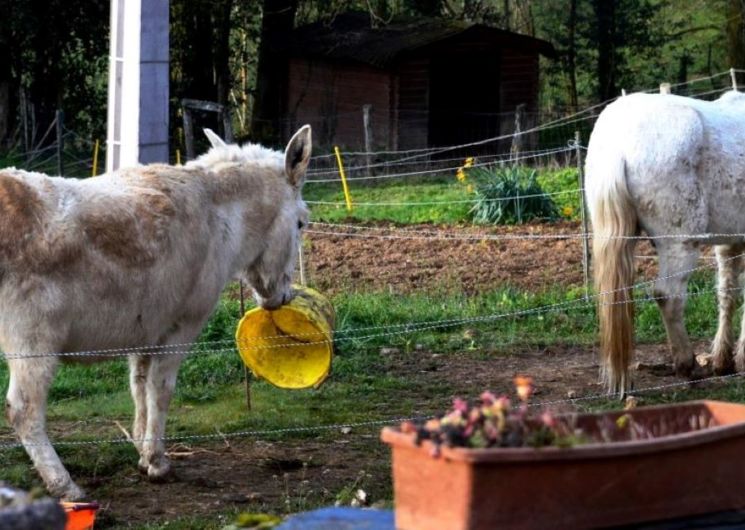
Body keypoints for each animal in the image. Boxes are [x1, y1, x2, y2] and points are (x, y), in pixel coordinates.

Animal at [2, 126, 310, 498]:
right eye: (301, 224)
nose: (283, 297)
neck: (218, 214)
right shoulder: (182, 326)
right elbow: (161, 390)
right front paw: (157, 462)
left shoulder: (146, 330)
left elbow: (139, 389)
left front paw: (141, 449)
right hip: (33, 341)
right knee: (24, 411)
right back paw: (65, 486)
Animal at [588, 89, 745, 392]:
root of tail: (618, 139)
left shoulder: (730, 242)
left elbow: (727, 293)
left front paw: (723, 359)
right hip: (680, 244)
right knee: (668, 295)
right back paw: (687, 365)